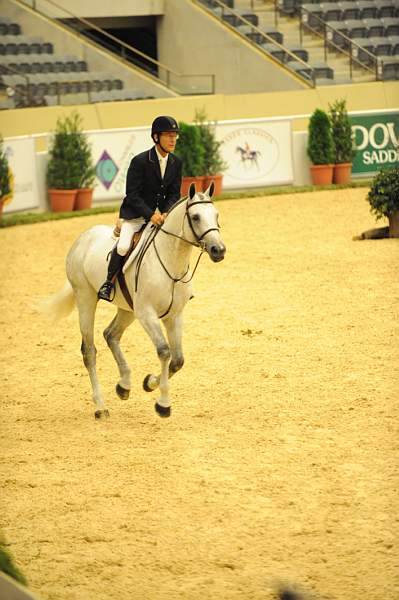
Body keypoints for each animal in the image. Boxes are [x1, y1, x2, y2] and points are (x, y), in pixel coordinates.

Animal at [41, 183, 228, 418]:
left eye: (216, 215)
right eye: (195, 217)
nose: (218, 250)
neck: (171, 262)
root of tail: (83, 238)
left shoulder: (175, 315)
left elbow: (177, 360)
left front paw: (149, 383)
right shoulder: (146, 313)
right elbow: (164, 351)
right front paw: (163, 404)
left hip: (127, 309)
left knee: (111, 335)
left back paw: (124, 385)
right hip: (86, 299)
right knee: (89, 351)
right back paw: (100, 406)